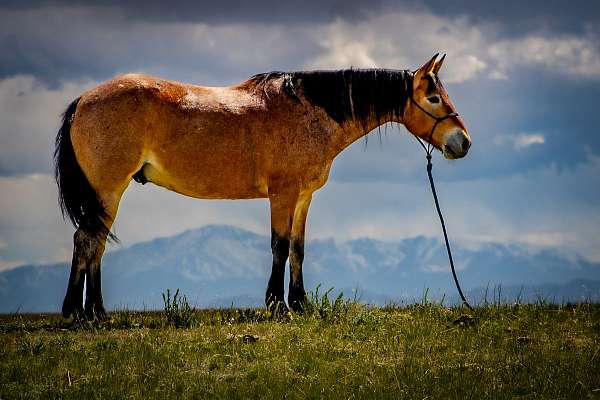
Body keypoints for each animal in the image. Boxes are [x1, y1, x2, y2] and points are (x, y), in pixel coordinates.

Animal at [55, 54, 468, 320]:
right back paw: (78, 312)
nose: (462, 142)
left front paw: (300, 303)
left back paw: (94, 311)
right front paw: (276, 304)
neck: (310, 111)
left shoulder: (303, 197)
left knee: (95, 242)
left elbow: (298, 249)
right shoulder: (282, 194)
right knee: (87, 240)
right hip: (108, 189)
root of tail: (83, 100)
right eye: (433, 97)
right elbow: (280, 246)